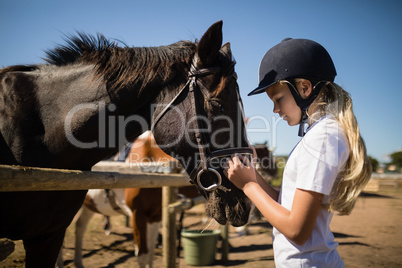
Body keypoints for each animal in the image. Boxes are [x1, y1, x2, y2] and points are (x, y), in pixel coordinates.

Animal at [0, 21, 251, 266]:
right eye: (217, 103)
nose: (245, 202)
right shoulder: (137, 216)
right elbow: (142, 255)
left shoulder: (51, 234)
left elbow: (149, 256)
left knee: (80, 227)